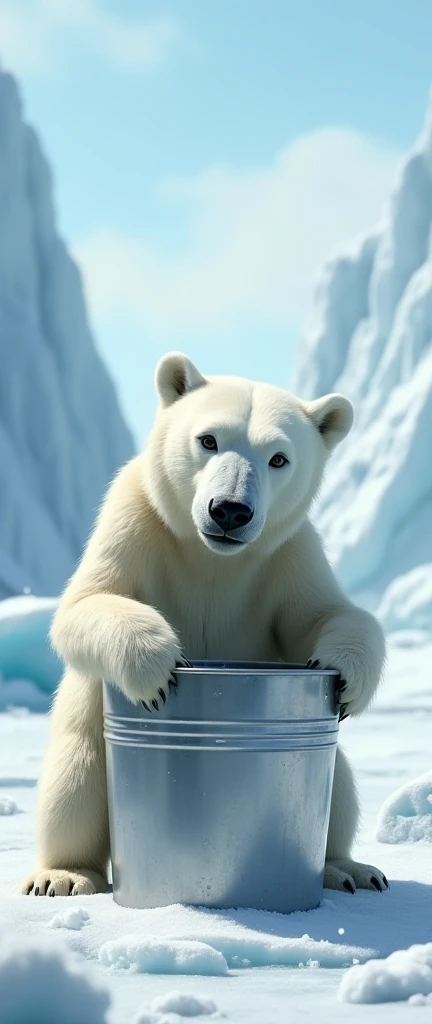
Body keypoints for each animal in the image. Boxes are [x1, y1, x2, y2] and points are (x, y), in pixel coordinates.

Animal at [22, 354, 389, 897]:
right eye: (208, 439)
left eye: (278, 458)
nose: (230, 511)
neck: (211, 556)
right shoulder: (136, 519)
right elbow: (86, 602)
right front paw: (157, 668)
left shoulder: (285, 553)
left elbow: (324, 614)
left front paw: (345, 676)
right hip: (86, 733)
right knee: (74, 778)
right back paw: (63, 875)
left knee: (339, 784)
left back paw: (348, 868)